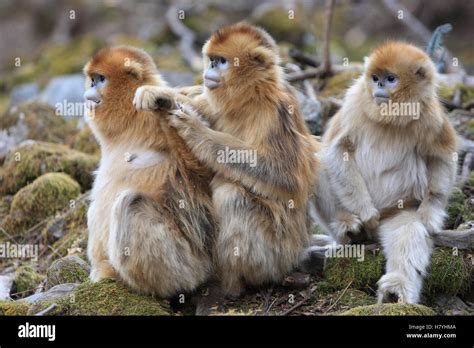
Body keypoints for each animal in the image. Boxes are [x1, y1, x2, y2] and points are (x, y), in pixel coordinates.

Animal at [83, 45, 217, 296]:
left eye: (101, 79)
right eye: (92, 79)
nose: (89, 92)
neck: (131, 120)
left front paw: (162, 102)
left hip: (185, 266)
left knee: (129, 203)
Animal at [134, 23, 318, 294]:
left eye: (221, 61)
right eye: (211, 60)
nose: (209, 69)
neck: (251, 97)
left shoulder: (276, 112)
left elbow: (286, 178)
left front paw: (197, 131)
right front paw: (161, 95)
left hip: (280, 254)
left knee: (232, 194)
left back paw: (232, 286)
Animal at [312, 41, 458, 304]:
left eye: (390, 79)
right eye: (375, 78)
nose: (379, 86)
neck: (391, 116)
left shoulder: (430, 115)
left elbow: (442, 157)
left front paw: (429, 216)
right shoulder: (355, 101)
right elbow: (336, 150)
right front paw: (366, 213)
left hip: (397, 210)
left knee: (408, 233)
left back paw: (395, 289)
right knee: (318, 160)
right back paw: (348, 228)